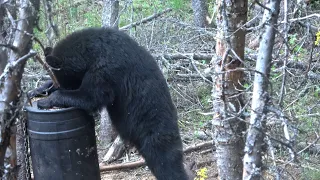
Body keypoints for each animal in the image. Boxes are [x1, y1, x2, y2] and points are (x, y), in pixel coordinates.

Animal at [28, 27, 190, 180]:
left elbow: (91, 96)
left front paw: (47, 100)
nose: (63, 86)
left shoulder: (107, 67)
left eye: (66, 83)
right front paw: (37, 90)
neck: (92, 50)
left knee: (166, 162)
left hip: (154, 132)